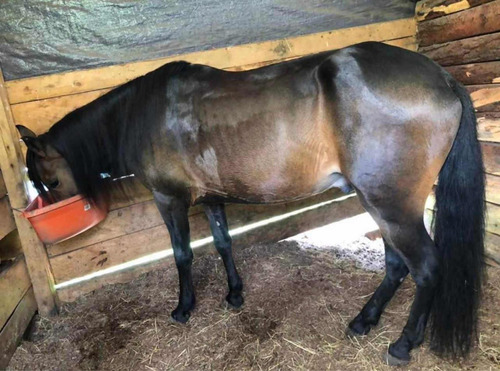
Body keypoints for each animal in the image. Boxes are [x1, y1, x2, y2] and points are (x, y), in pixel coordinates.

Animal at [18, 42, 484, 366]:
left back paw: (403, 344)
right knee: (396, 266)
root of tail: (442, 78)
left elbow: (183, 255)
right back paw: (364, 321)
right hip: (384, 205)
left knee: (426, 267)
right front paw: (234, 294)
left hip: (391, 205)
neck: (143, 113)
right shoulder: (211, 199)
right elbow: (223, 243)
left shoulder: (170, 200)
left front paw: (184, 308)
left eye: (51, 179)